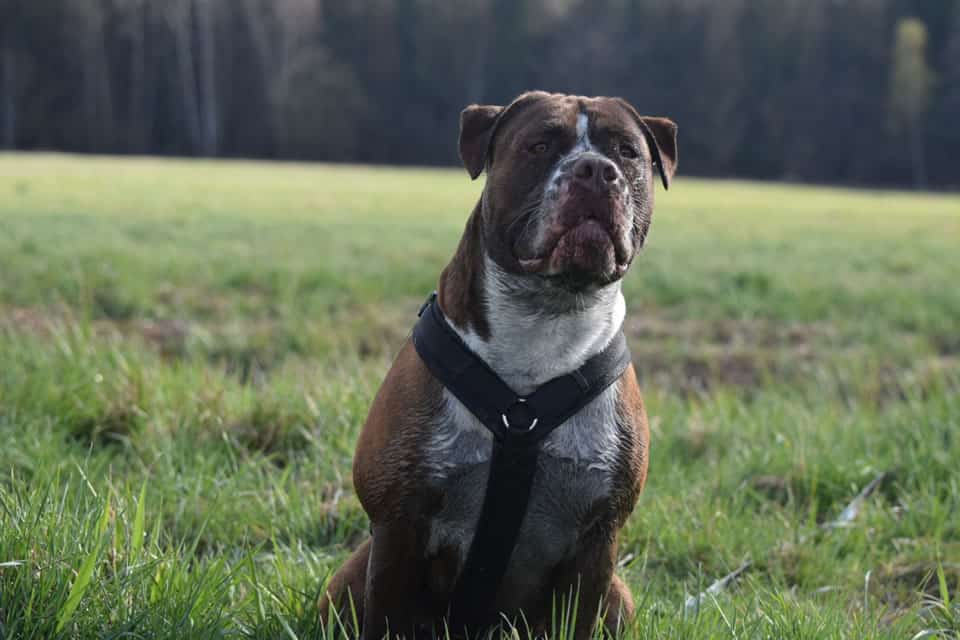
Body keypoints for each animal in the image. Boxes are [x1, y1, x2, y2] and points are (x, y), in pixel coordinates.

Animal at [320, 91, 676, 640]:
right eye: (539, 145)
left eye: (627, 152)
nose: (597, 170)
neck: (546, 316)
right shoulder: (398, 524)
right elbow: (385, 617)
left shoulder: (598, 542)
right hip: (350, 577)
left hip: (619, 594)